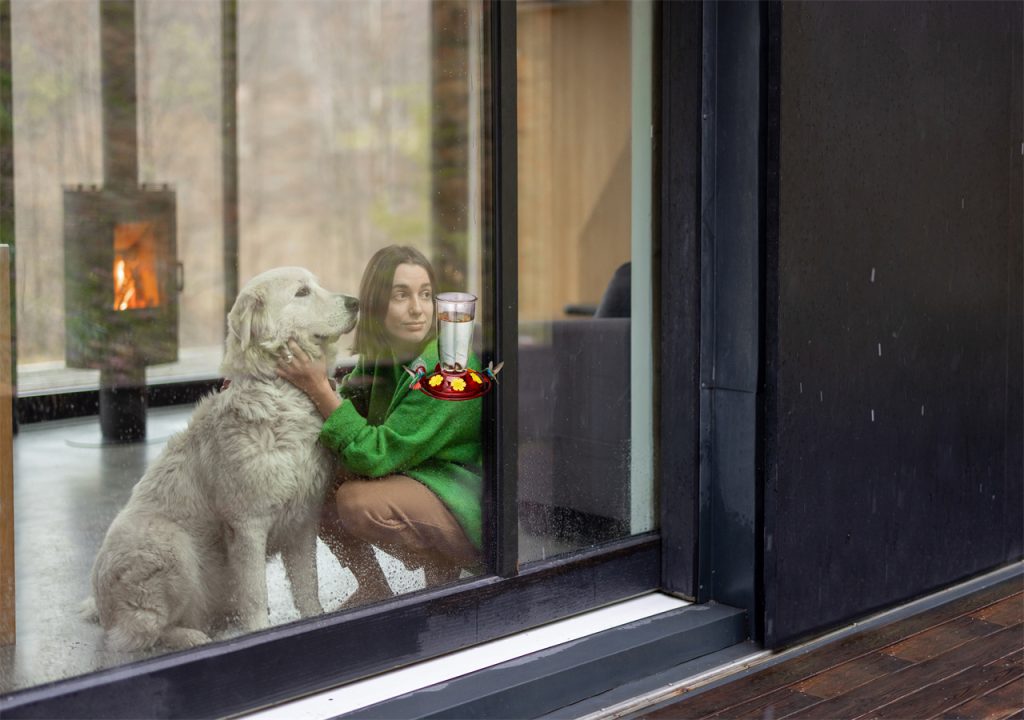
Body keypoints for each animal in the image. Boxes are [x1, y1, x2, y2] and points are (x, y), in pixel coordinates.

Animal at [82, 268, 360, 651]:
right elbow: (256, 595)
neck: (280, 393)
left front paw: (316, 621)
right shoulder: (247, 526)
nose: (356, 302)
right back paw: (191, 638)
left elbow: (307, 587)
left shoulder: (303, 521)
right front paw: (260, 633)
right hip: (170, 545)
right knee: (143, 633)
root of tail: (103, 608)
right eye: (302, 293)